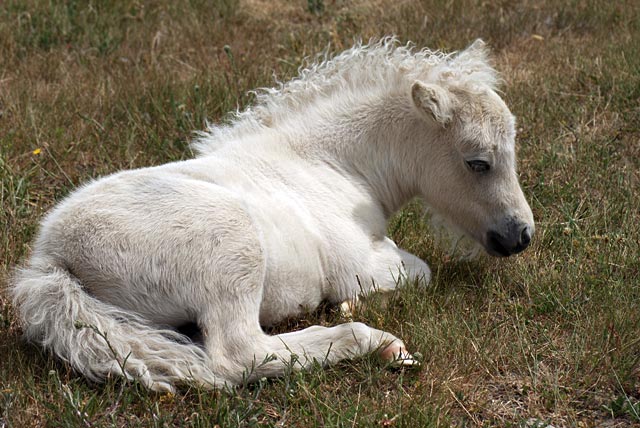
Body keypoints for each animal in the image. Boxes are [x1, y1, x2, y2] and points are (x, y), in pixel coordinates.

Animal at [11, 38, 534, 392]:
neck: (328, 162)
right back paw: (375, 342)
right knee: (239, 353)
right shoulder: (354, 264)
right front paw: (353, 304)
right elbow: (416, 272)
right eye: (478, 162)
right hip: (232, 245)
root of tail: (51, 261)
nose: (520, 236)